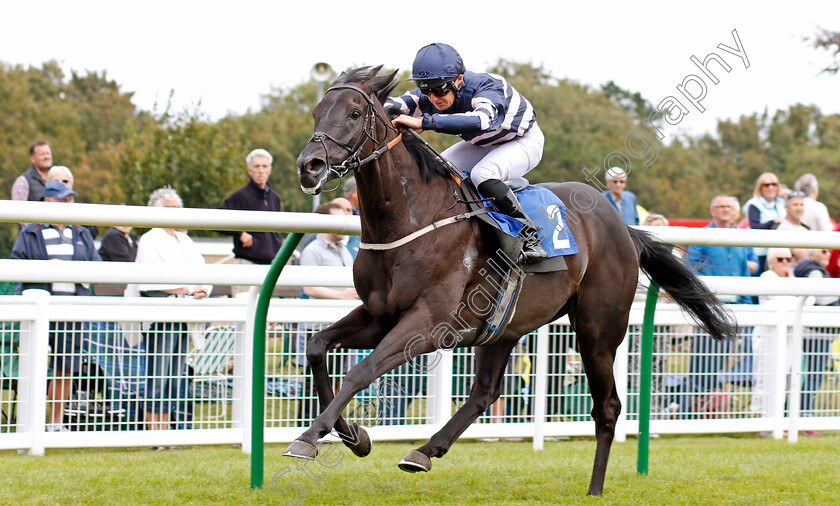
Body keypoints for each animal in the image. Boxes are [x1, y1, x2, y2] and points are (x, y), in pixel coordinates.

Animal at [284, 65, 736, 496]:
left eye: (354, 113)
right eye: (316, 112)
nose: (309, 166)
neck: (412, 218)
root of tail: (622, 227)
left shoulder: (427, 323)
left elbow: (361, 372)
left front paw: (309, 438)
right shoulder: (380, 315)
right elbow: (317, 347)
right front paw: (352, 435)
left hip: (598, 330)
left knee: (606, 408)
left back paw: (594, 487)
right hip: (502, 327)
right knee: (485, 391)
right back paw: (424, 451)